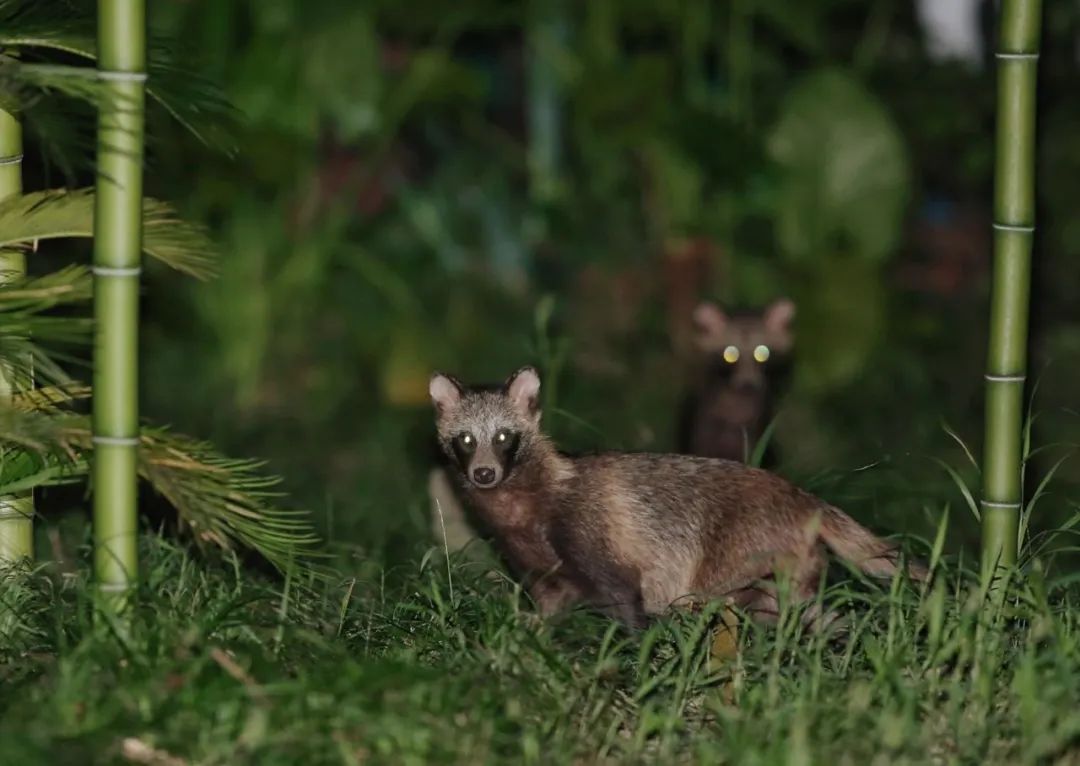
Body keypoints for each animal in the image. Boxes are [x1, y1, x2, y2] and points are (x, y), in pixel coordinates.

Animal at [425, 367, 924, 630]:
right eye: (466, 439)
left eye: (504, 436)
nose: (484, 473)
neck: (518, 504)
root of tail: (806, 500)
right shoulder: (532, 554)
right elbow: (549, 600)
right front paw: (530, 630)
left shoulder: (590, 526)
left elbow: (625, 595)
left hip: (746, 545)